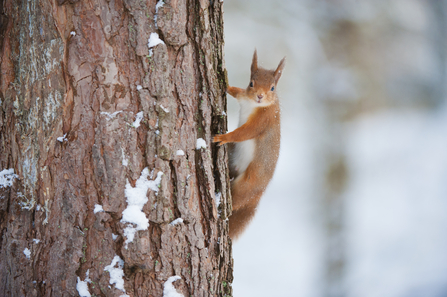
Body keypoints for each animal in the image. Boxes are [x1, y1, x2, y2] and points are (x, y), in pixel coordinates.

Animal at [214, 49, 286, 237]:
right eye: (251, 83)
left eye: (272, 88)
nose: (260, 96)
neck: (253, 104)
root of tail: (258, 196)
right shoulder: (243, 96)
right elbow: (237, 91)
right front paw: (226, 84)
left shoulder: (264, 120)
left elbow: (245, 132)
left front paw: (224, 137)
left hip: (246, 186)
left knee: (235, 203)